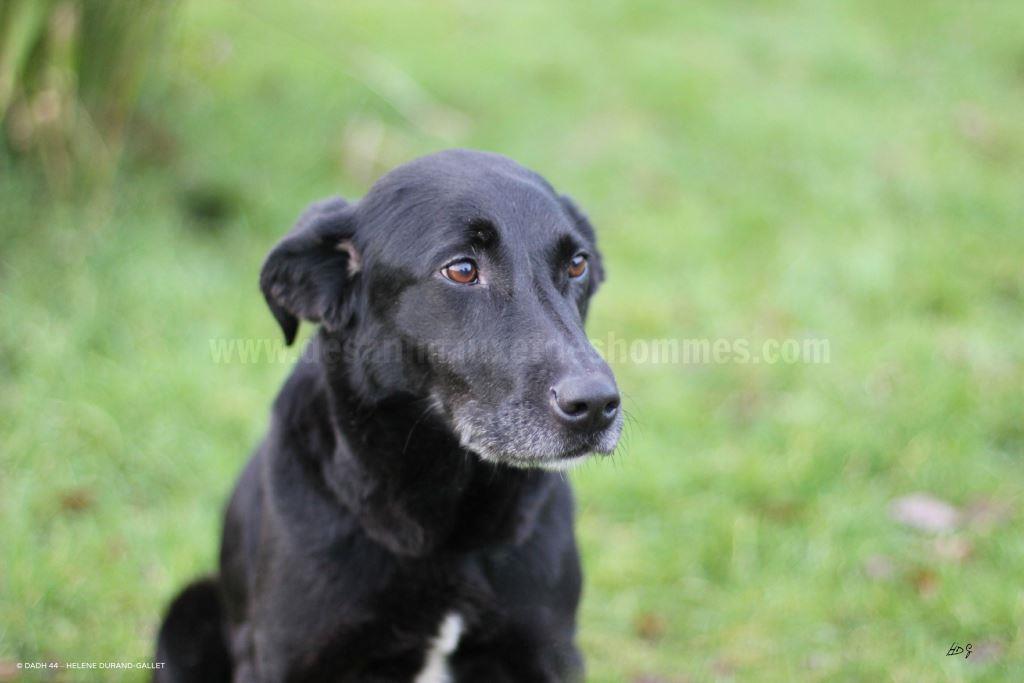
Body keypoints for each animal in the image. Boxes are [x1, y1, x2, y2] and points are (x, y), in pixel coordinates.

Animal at [155, 150, 623, 682]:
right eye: (462, 270)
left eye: (577, 264)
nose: (596, 406)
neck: (445, 529)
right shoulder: (283, 657)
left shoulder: (546, 651)